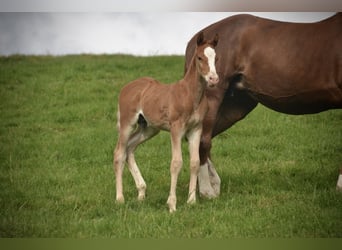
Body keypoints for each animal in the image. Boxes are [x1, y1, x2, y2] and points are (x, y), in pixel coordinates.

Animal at [113, 32, 219, 213]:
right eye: (200, 57)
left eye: (216, 58)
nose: (213, 79)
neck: (190, 95)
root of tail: (126, 87)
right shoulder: (176, 129)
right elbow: (176, 163)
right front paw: (172, 205)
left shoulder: (196, 129)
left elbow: (195, 162)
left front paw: (191, 201)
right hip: (128, 123)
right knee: (119, 152)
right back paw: (120, 198)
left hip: (148, 128)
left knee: (130, 148)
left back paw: (141, 192)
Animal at [186, 13, 342, 197]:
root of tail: (194, 42)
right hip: (213, 98)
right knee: (203, 139)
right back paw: (206, 190)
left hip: (235, 106)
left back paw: (212, 184)